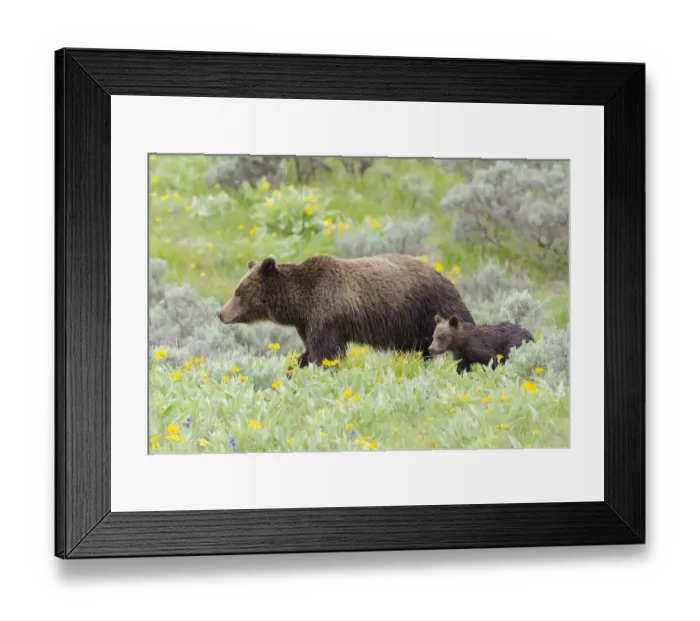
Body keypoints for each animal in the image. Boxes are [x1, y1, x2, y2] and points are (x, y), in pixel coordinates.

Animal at [217, 253, 475, 370]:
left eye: (238, 291)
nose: (220, 312)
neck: (300, 304)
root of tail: (442, 272)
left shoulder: (327, 316)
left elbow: (325, 353)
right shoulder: (308, 323)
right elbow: (310, 351)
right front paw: (295, 368)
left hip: (431, 306)